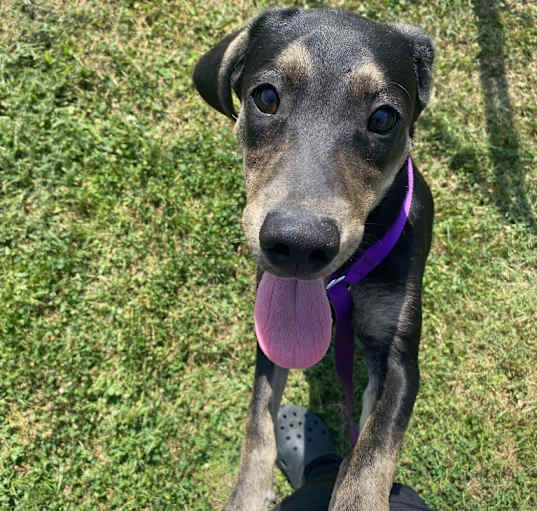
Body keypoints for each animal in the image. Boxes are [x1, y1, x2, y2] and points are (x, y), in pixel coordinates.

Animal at [192, 8, 432, 511]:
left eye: (384, 117)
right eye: (266, 97)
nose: (299, 245)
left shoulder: (400, 358)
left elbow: (372, 451)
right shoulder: (268, 334)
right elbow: (258, 419)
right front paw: (248, 494)